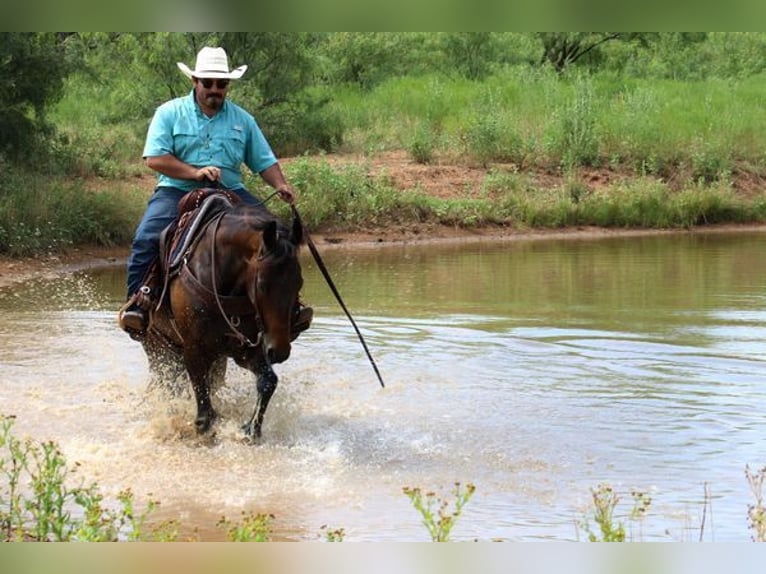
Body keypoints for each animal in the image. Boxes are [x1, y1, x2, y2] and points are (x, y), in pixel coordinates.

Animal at [140, 195, 308, 440]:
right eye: (262, 285)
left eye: (299, 283)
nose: (279, 351)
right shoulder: (194, 348)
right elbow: (204, 414)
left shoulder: (245, 349)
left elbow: (268, 381)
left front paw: (251, 429)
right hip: (158, 348)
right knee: (167, 385)